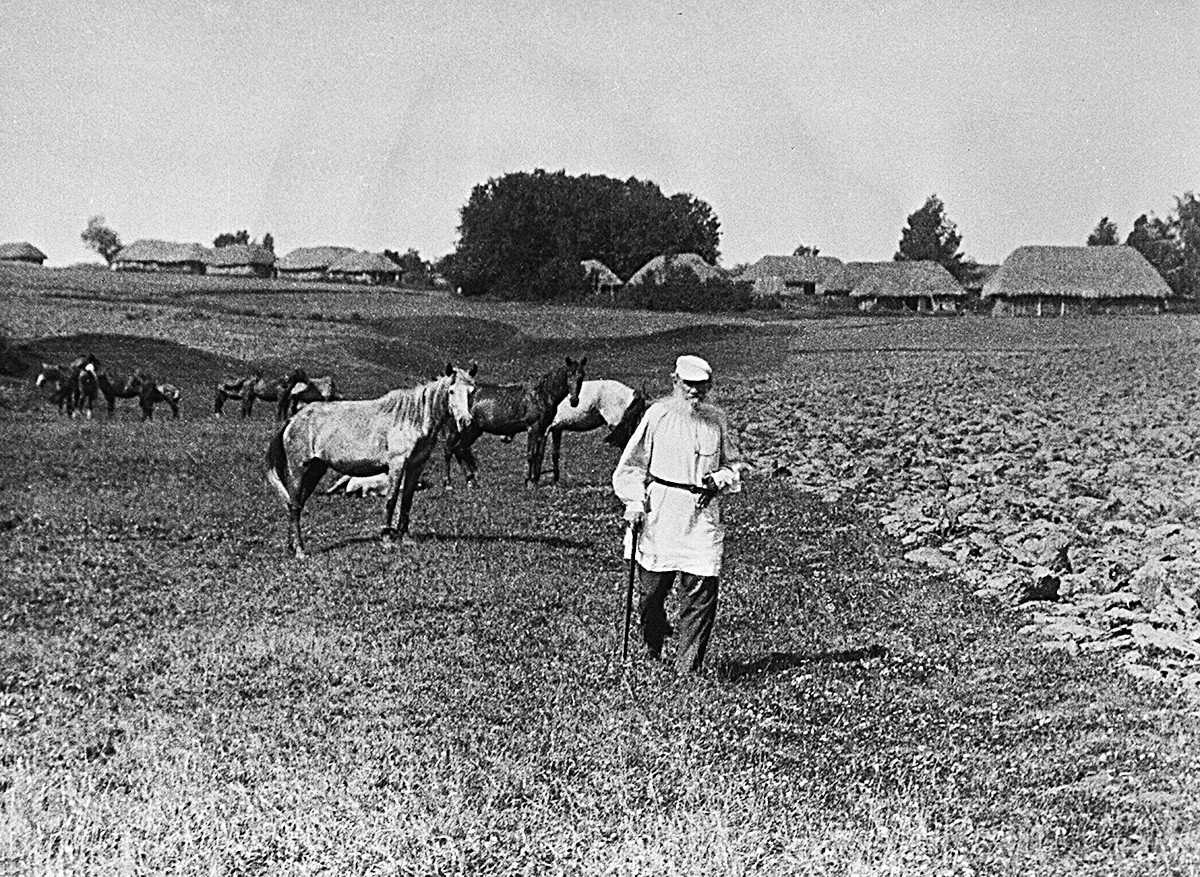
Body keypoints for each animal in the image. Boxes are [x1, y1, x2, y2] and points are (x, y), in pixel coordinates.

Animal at [444, 357, 588, 494]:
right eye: (569, 374)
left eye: (582, 375)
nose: (574, 401)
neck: (541, 394)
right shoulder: (533, 428)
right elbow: (531, 454)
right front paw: (528, 481)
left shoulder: (542, 430)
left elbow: (538, 454)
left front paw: (534, 480)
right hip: (465, 430)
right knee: (454, 449)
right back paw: (459, 482)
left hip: (468, 431)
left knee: (457, 449)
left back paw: (471, 481)